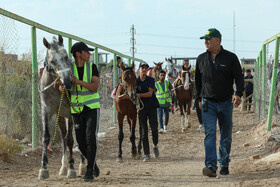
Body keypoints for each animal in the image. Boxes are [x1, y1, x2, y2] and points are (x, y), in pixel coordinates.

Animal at [38, 35, 86, 180]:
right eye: (52, 61)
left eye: (65, 56)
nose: (68, 82)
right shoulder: (46, 110)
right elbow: (46, 137)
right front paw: (43, 168)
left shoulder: (70, 113)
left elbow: (70, 140)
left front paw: (72, 168)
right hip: (60, 117)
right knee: (64, 136)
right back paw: (63, 167)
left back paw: (82, 166)